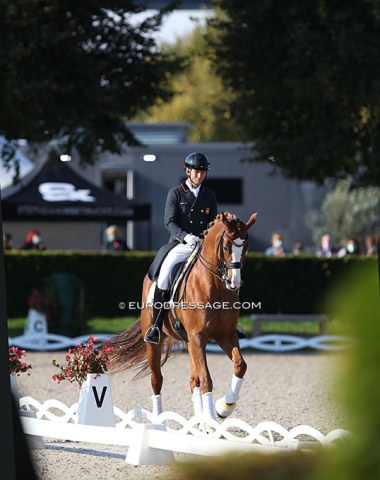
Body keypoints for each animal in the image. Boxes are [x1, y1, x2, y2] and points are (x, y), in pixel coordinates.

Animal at [107, 212, 258, 430]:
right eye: (227, 247)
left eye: (246, 247)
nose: (234, 282)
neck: (214, 285)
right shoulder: (198, 336)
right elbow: (206, 379)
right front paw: (211, 421)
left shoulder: (224, 335)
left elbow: (240, 366)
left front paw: (224, 407)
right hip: (157, 341)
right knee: (157, 379)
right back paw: (159, 422)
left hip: (191, 342)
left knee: (193, 380)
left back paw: (198, 421)